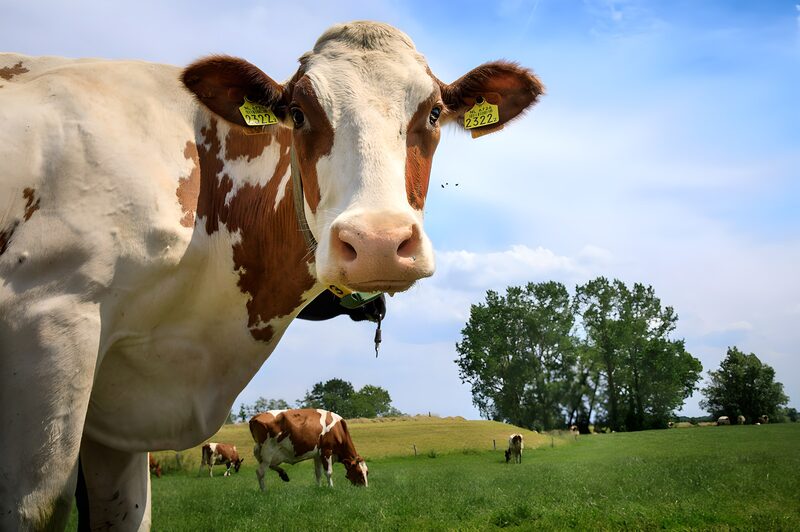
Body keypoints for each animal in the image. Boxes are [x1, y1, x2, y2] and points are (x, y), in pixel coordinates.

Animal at [0, 21, 543, 531]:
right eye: (298, 113)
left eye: (432, 112)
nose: (377, 244)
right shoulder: (50, 318)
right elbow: (37, 507)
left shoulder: (119, 411)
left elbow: (127, 511)